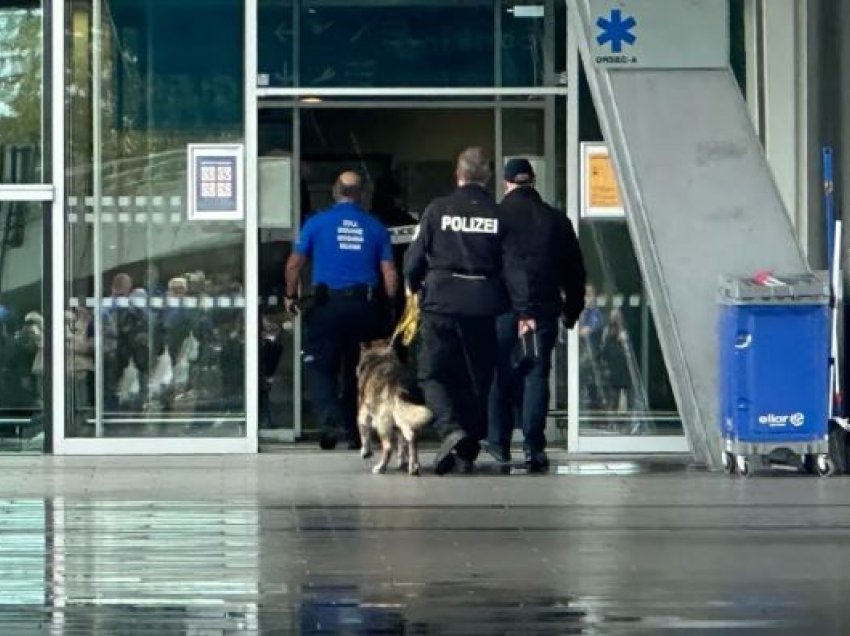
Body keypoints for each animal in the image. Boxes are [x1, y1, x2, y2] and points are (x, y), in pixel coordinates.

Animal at [354, 340, 430, 474]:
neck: (380, 357)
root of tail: (397, 382)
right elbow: (402, 445)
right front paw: (403, 462)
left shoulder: (363, 415)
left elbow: (364, 434)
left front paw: (365, 452)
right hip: (404, 417)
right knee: (412, 437)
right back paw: (414, 467)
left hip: (382, 422)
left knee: (388, 447)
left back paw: (380, 467)